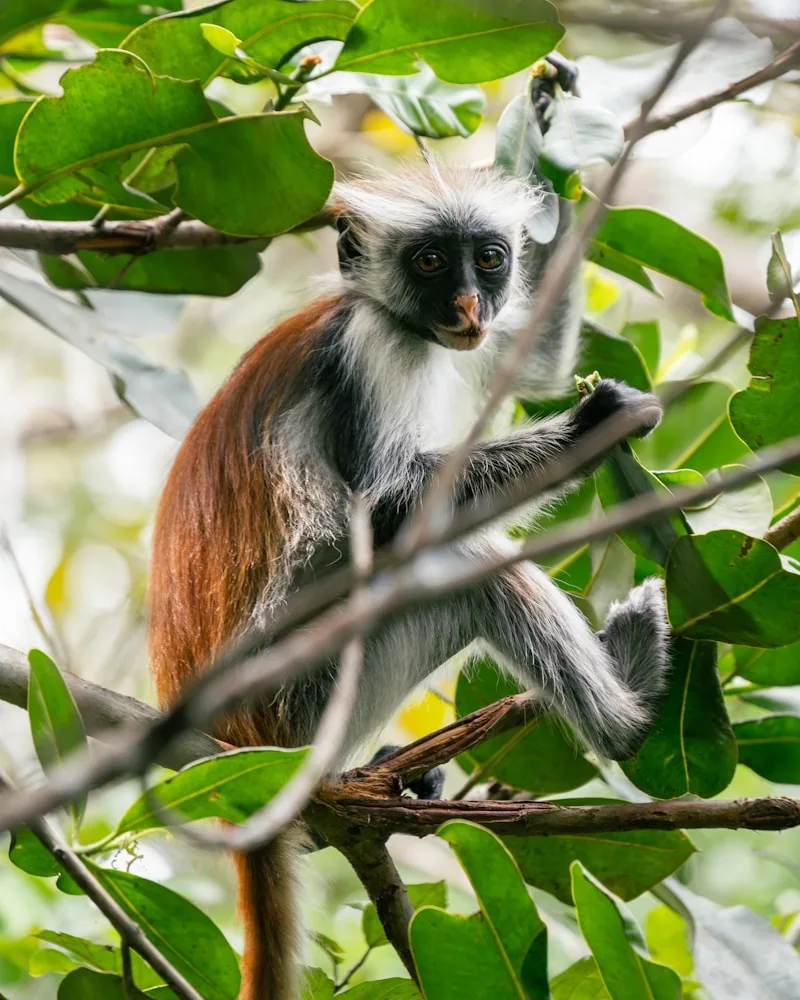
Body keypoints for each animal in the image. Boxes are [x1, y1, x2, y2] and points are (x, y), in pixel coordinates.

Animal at [149, 65, 670, 1000]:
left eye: (489, 258)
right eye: (430, 261)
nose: (465, 302)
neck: (388, 315)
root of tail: (227, 750)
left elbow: (530, 364)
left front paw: (547, 131)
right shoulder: (372, 349)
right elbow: (389, 511)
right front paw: (594, 423)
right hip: (308, 700)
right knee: (474, 565)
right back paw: (628, 715)